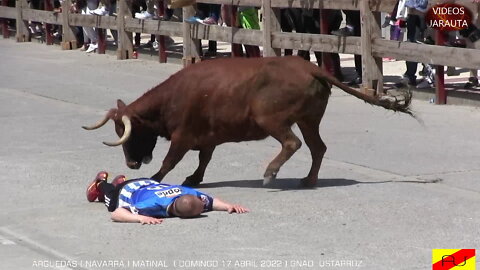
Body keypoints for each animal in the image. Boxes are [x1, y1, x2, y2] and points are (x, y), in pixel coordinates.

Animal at [83, 56, 412, 188]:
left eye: (128, 131)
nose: (131, 164)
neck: (173, 97)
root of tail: (310, 68)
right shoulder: (206, 138)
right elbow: (204, 159)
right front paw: (193, 179)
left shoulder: (183, 136)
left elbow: (170, 161)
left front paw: (153, 180)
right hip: (309, 119)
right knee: (317, 147)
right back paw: (308, 180)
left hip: (272, 119)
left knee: (292, 143)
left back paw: (270, 174)